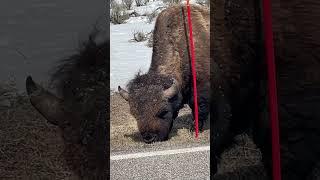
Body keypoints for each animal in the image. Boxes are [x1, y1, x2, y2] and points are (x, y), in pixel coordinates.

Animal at [117, 4, 210, 143]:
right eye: (135, 114)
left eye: (163, 112)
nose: (149, 138)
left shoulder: (201, 87)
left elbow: (198, 106)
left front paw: (194, 128)